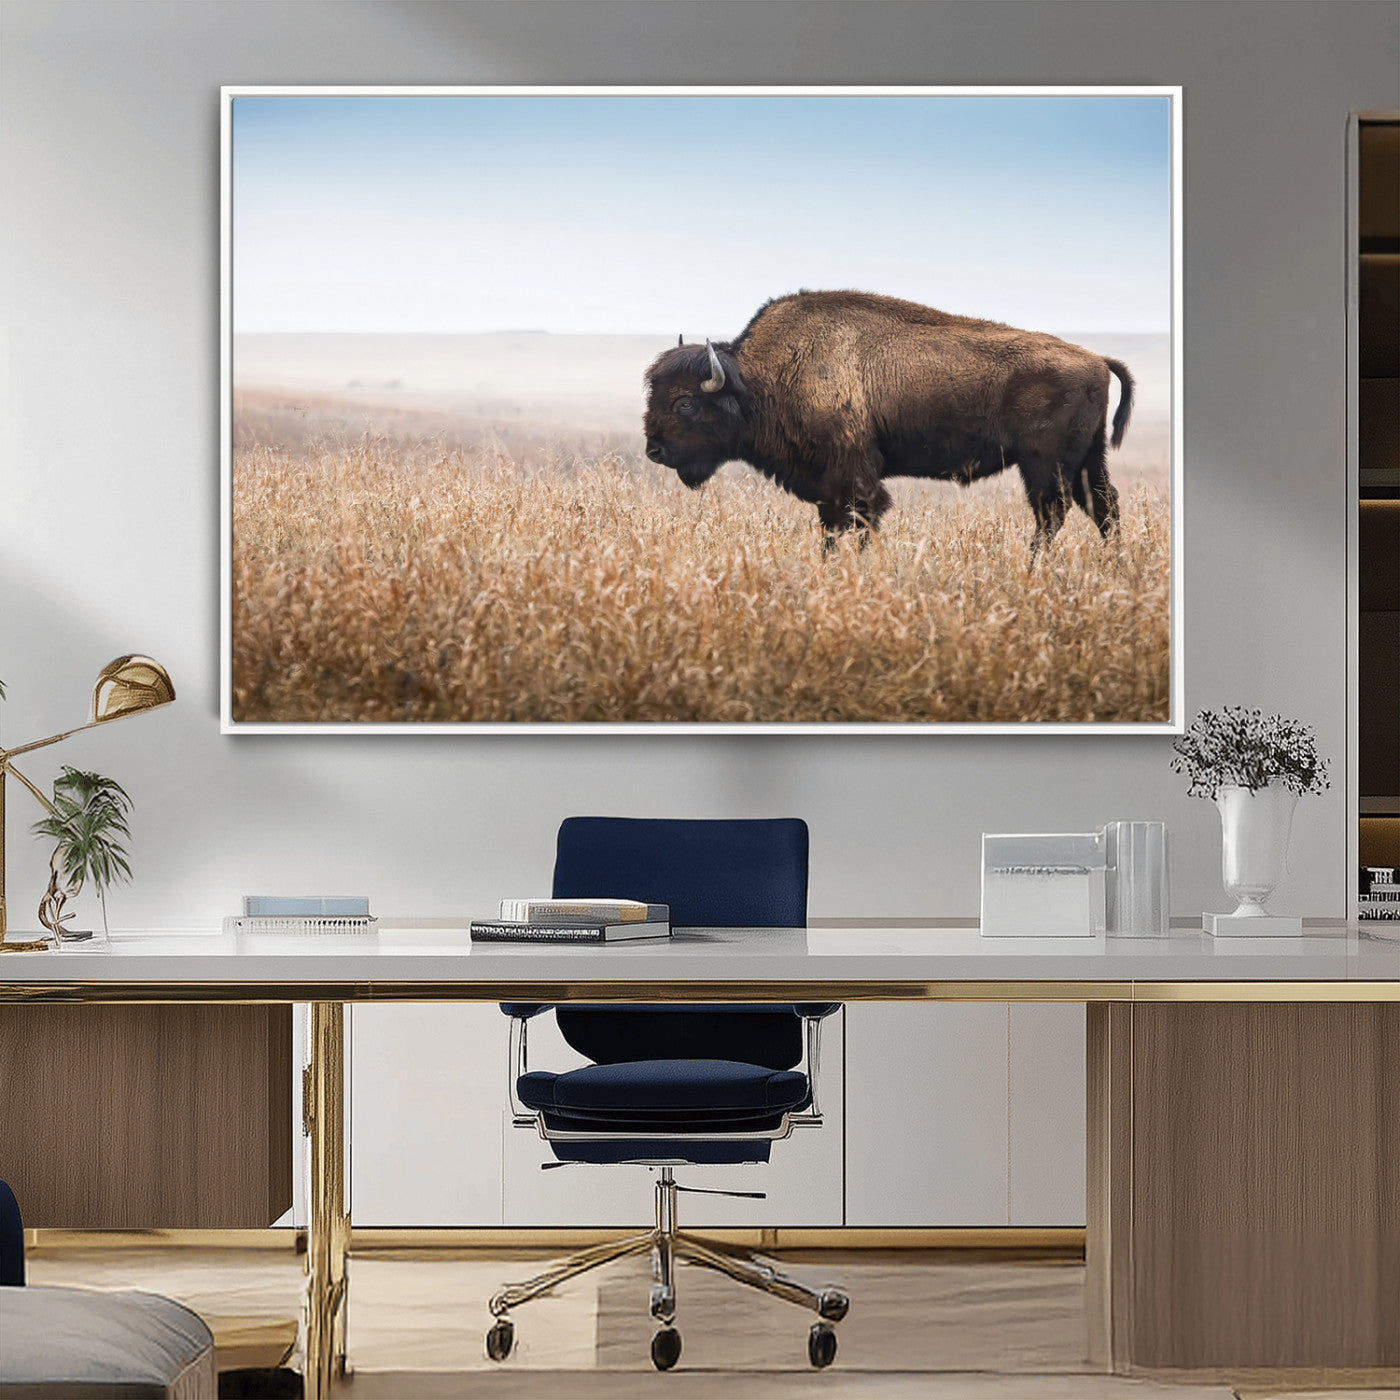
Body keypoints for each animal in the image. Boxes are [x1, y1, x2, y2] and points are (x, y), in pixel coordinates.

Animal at [644, 290, 1134, 560]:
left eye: (685, 403)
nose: (654, 451)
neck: (760, 379)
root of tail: (1096, 358)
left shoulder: (854, 476)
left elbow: (863, 520)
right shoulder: (827, 486)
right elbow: (831, 528)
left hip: (1044, 464)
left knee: (1053, 513)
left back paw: (1033, 568)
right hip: (1087, 459)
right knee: (1103, 508)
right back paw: (1114, 567)